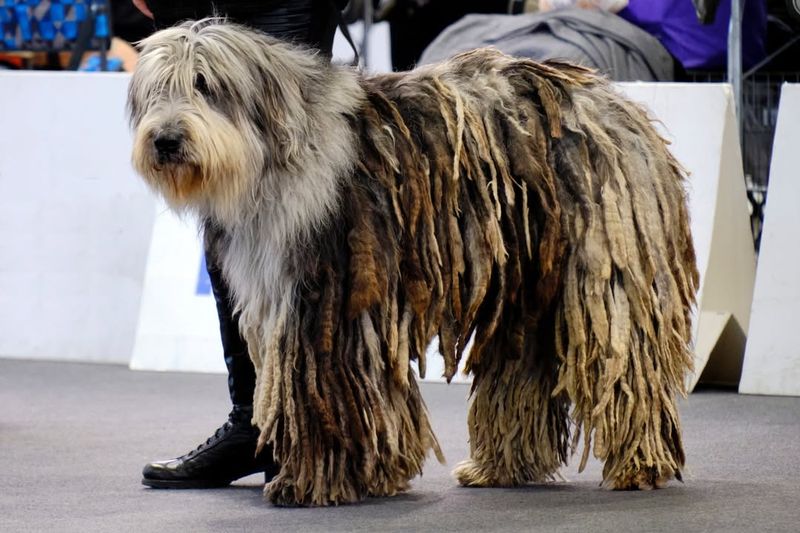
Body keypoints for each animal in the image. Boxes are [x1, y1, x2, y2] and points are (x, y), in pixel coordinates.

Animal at [128, 18, 696, 504]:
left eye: (204, 84)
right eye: (157, 91)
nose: (166, 140)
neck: (276, 152)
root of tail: (614, 99)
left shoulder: (328, 301)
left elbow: (328, 386)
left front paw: (312, 482)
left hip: (601, 275)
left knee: (626, 369)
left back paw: (639, 463)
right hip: (526, 286)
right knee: (522, 371)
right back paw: (501, 466)